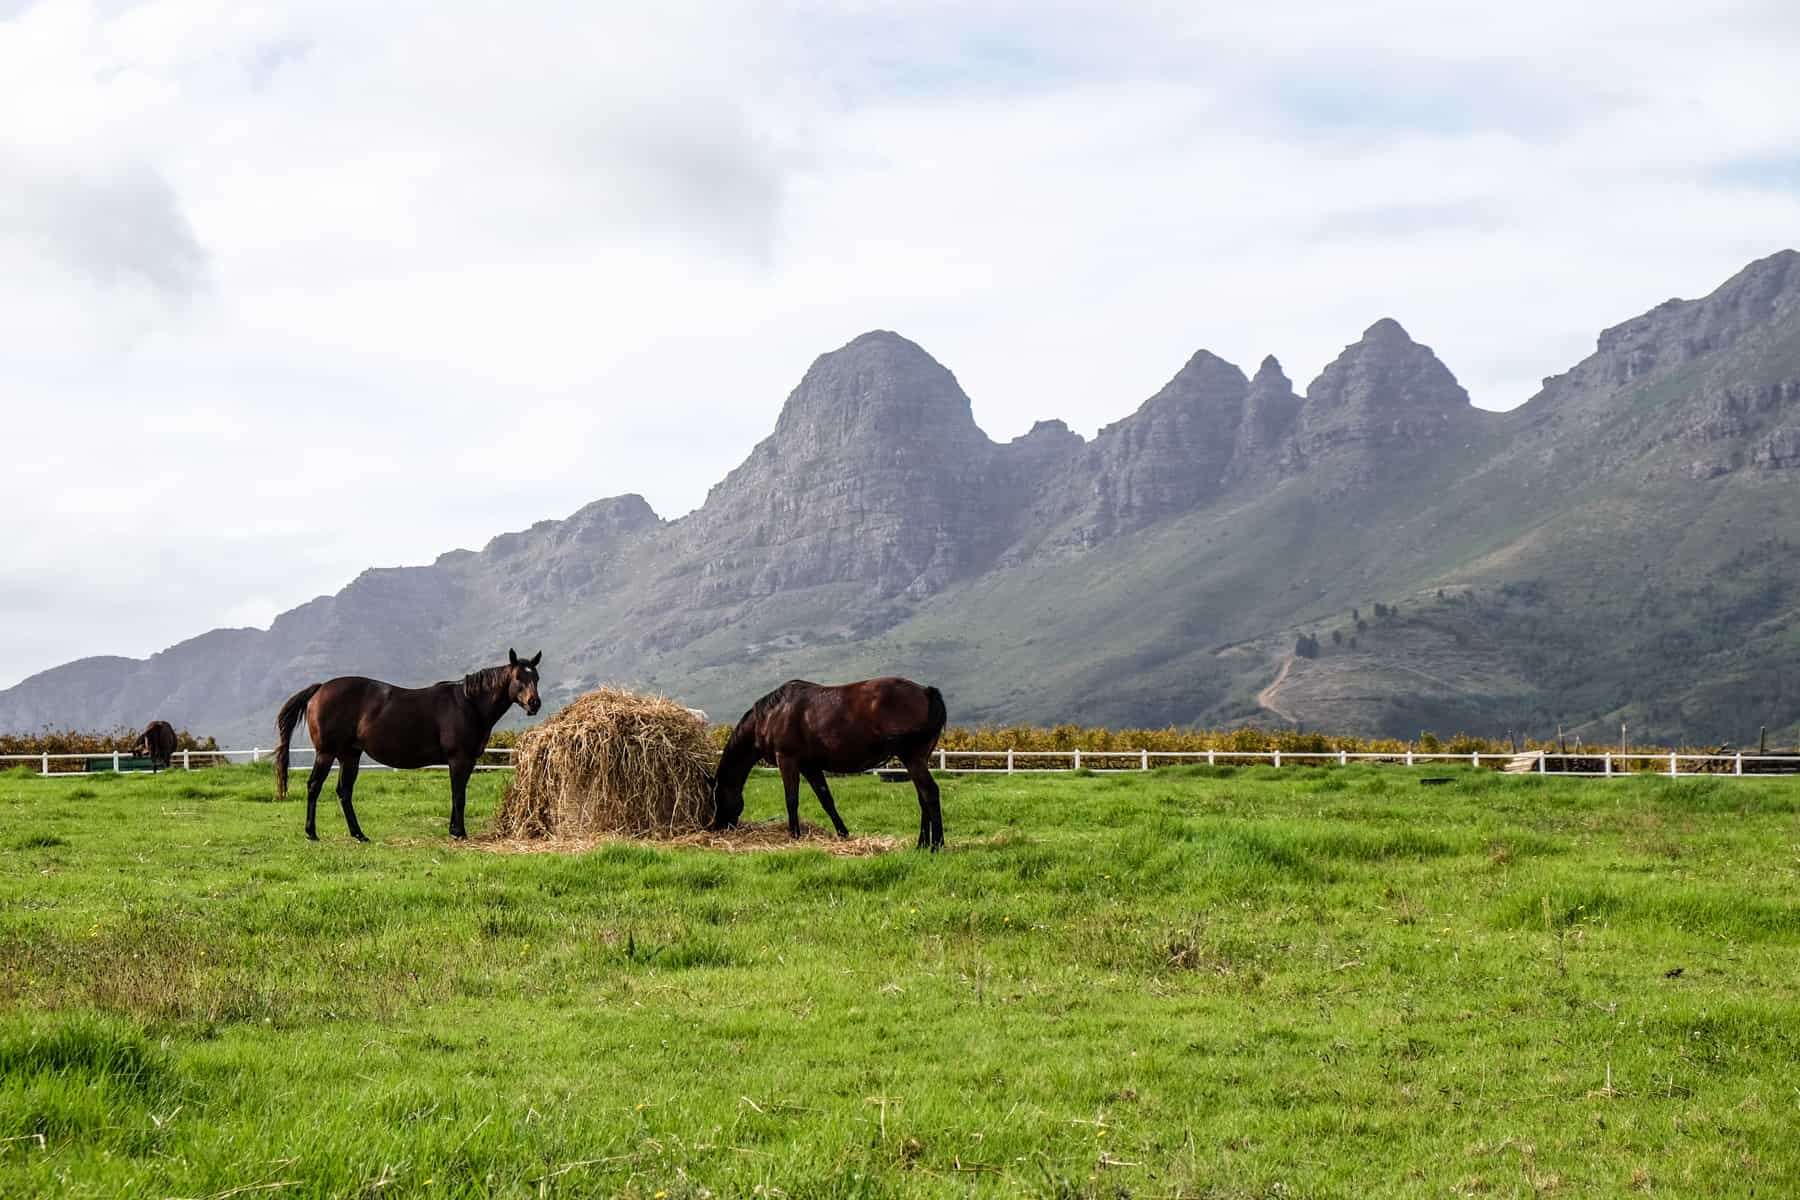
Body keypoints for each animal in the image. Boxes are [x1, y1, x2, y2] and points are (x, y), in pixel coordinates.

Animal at [270, 651, 540, 841]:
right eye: (518, 677)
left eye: (536, 677)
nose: (534, 703)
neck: (467, 704)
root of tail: (321, 688)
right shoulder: (458, 759)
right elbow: (458, 795)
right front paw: (459, 832)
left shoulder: (468, 761)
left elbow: (458, 793)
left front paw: (454, 829)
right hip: (326, 754)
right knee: (314, 786)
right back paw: (311, 832)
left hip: (350, 755)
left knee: (344, 792)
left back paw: (359, 834)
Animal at [709, 680, 950, 849]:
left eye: (717, 797)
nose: (716, 827)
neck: (771, 714)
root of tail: (926, 692)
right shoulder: (810, 766)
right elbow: (826, 800)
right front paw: (843, 833)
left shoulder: (787, 759)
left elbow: (791, 799)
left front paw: (794, 835)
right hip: (918, 760)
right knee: (922, 797)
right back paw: (921, 844)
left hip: (912, 758)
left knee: (930, 792)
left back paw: (936, 845)